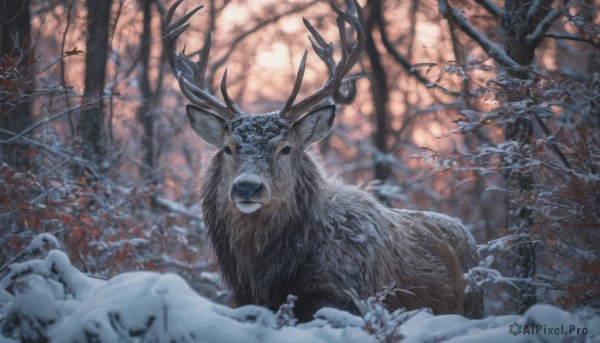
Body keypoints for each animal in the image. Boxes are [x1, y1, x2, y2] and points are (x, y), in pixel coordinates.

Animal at [164, 0, 482, 324]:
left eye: (286, 149)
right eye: (228, 148)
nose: (248, 187)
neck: (270, 280)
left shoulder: (344, 297)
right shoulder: (241, 299)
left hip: (474, 306)